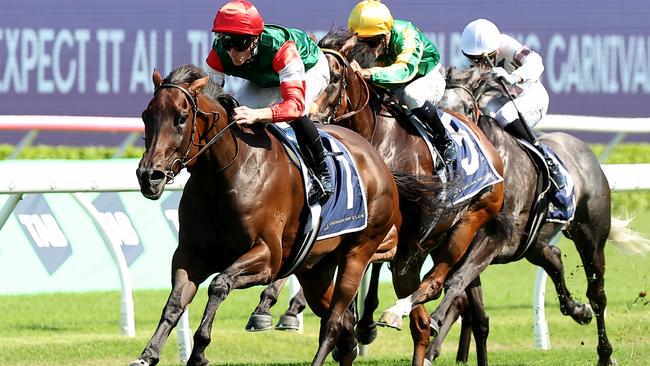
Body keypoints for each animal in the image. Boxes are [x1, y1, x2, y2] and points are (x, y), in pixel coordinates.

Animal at [131, 65, 428, 366]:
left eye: (181, 118)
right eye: (146, 116)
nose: (149, 176)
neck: (226, 174)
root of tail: (379, 161)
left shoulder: (268, 258)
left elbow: (219, 284)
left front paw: (200, 350)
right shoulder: (190, 254)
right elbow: (174, 303)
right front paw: (148, 355)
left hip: (358, 252)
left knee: (334, 323)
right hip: (315, 268)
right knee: (344, 325)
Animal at [246, 29, 504, 366]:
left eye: (333, 77)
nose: (306, 114)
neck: (377, 139)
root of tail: (490, 148)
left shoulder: (391, 228)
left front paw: (359, 325)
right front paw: (267, 306)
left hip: (469, 221)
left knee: (438, 281)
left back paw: (395, 312)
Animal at [426, 66, 648, 366]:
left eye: (467, 108)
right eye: (438, 107)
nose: (453, 144)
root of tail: (584, 151)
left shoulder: (495, 238)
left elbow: (457, 282)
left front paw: (434, 320)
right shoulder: (459, 243)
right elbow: (469, 301)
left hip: (590, 236)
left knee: (597, 294)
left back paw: (605, 353)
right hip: (532, 244)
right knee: (553, 257)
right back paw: (579, 311)